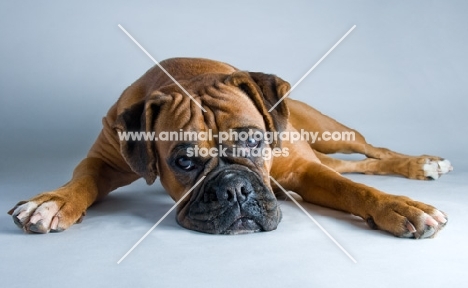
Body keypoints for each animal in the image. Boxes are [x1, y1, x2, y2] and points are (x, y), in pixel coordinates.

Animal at [7, 57, 452, 237]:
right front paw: (52, 202)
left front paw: (399, 207)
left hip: (328, 132)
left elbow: (356, 190)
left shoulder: (303, 169)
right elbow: (80, 181)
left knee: (370, 151)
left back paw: (423, 164)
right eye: (184, 162)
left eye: (255, 140)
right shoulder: (102, 158)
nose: (235, 188)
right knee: (353, 165)